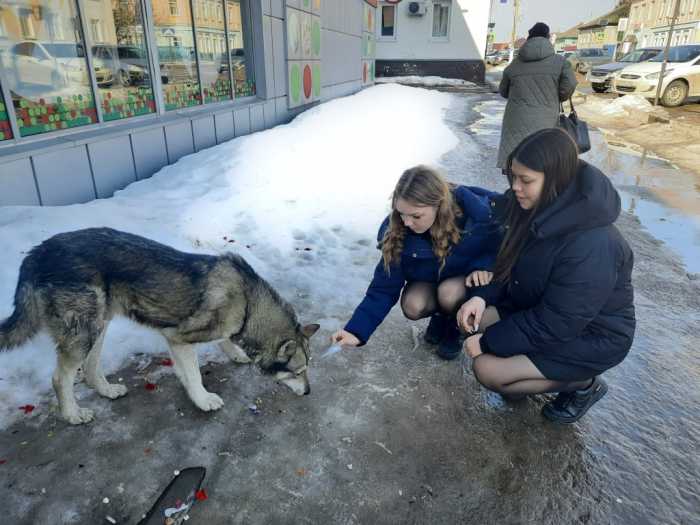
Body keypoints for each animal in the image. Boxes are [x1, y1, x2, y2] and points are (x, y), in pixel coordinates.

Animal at [0, 228, 319, 425]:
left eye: (306, 370)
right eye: (297, 372)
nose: (308, 393)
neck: (248, 302)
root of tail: (37, 253)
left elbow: (221, 343)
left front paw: (234, 353)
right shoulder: (178, 338)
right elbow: (194, 376)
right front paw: (203, 400)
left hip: (97, 324)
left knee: (90, 369)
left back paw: (107, 390)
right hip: (83, 332)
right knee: (60, 378)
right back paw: (72, 414)